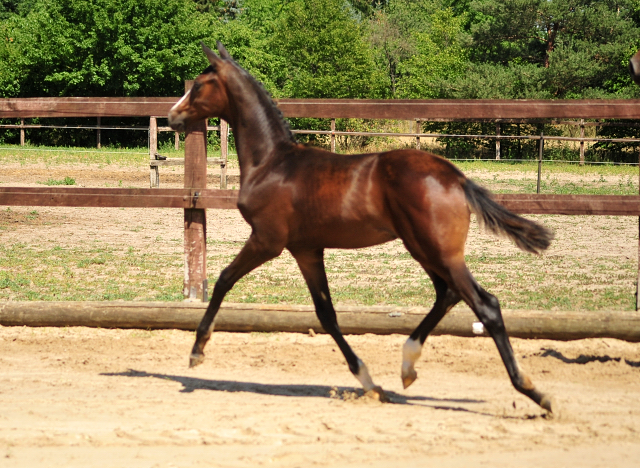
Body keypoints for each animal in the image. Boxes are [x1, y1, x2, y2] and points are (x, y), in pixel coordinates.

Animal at [169, 42, 556, 412]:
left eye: (199, 85)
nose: (173, 115)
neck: (272, 163)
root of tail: (456, 177)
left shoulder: (267, 240)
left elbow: (223, 280)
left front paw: (197, 351)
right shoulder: (307, 249)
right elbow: (326, 315)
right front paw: (369, 382)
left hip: (438, 250)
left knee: (484, 303)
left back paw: (535, 392)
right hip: (424, 248)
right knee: (447, 294)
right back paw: (408, 366)